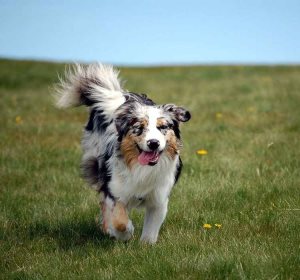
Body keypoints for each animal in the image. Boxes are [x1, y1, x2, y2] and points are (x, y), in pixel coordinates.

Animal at [55, 64, 191, 243]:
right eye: (139, 127)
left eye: (163, 127)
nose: (153, 143)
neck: (142, 169)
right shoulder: (114, 189)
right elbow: (119, 220)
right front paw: (124, 233)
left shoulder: (159, 198)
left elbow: (151, 230)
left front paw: (145, 245)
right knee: (103, 203)